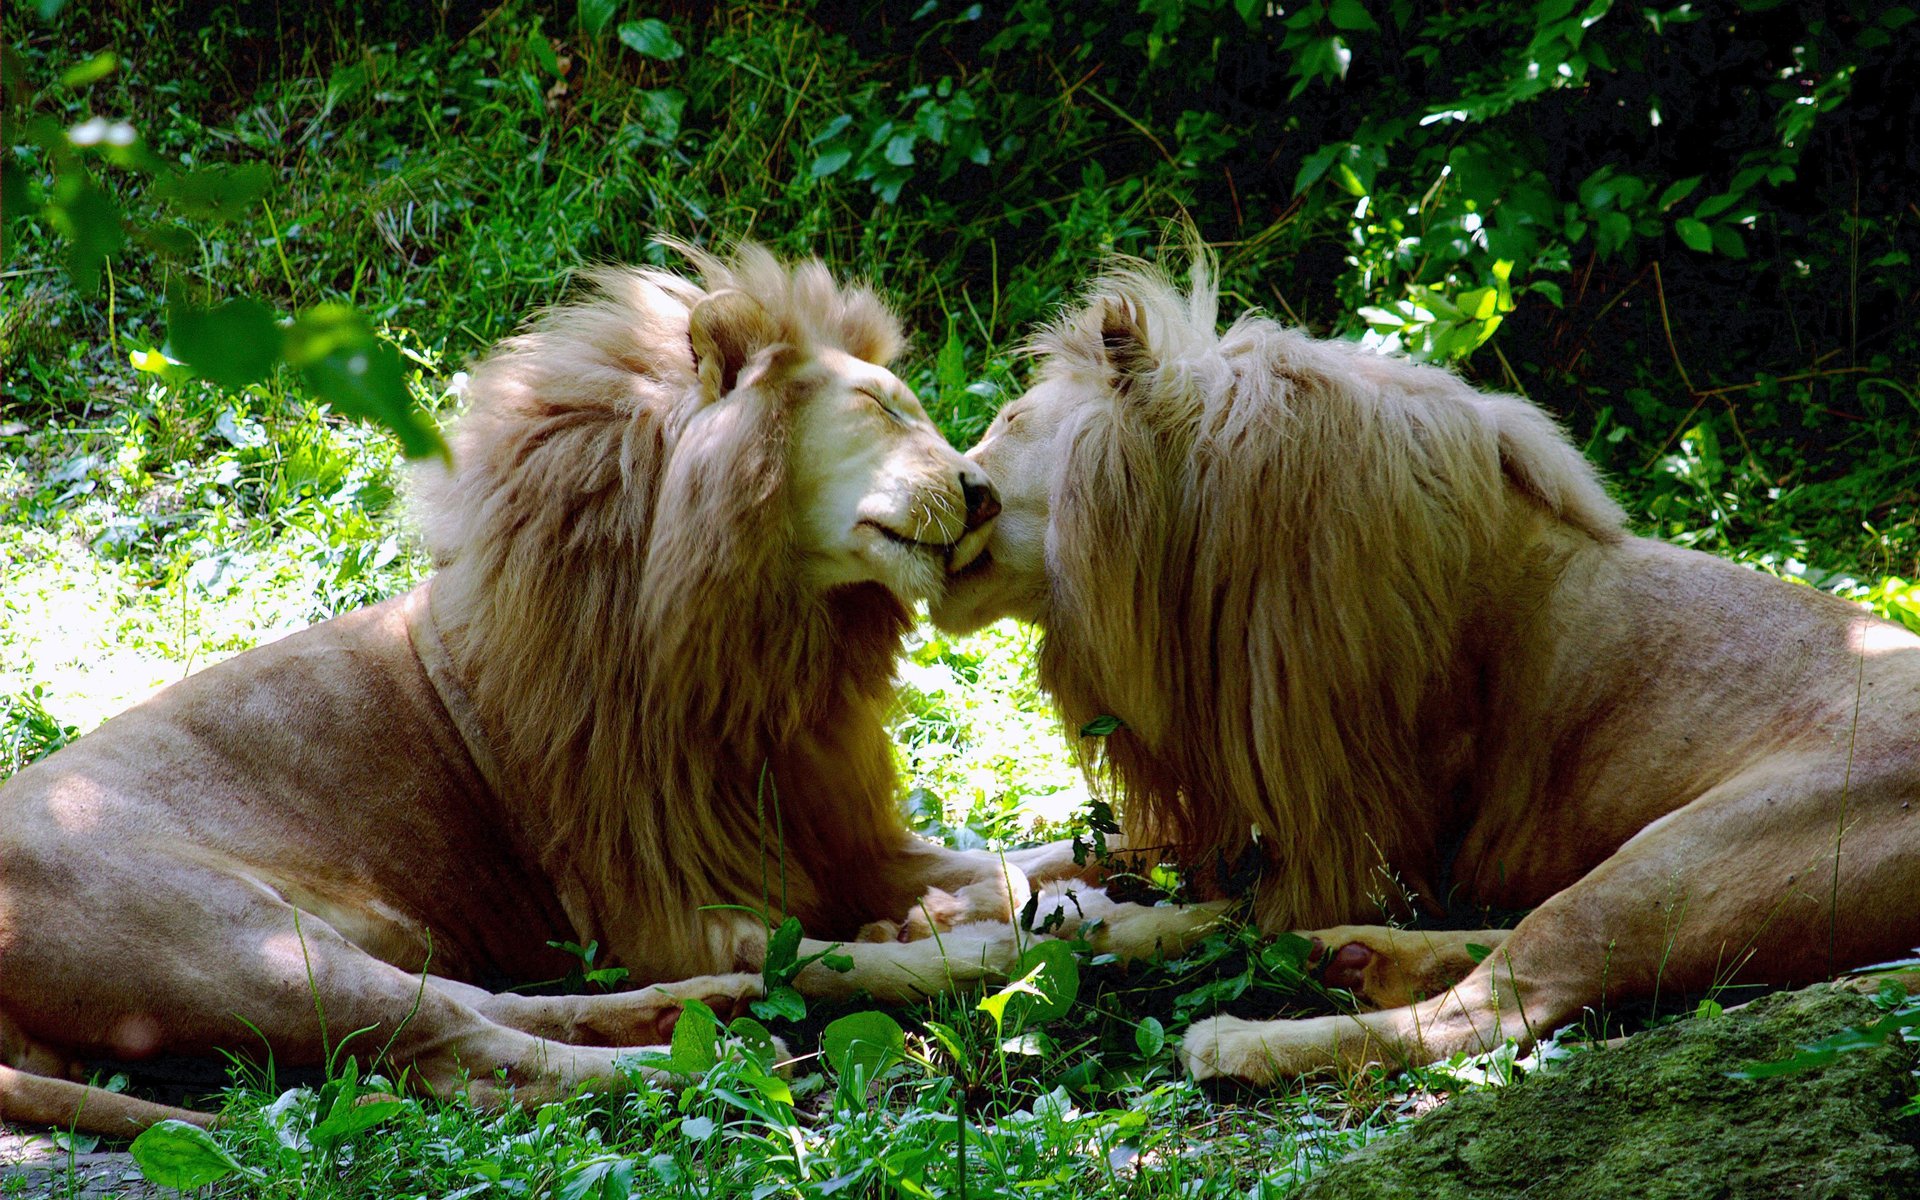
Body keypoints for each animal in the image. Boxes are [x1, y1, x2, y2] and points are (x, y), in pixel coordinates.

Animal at [0, 243, 1036, 1128]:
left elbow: (1010, 863)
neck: (768, 641)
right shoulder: (668, 909)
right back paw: (723, 1057)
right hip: (247, 948)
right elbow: (840, 961)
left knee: (491, 1011)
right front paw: (975, 939)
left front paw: (1004, 897)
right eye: (884, 409)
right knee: (469, 1058)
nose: (986, 495)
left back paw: (699, 1012)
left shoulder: (827, 839)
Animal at [929, 257, 1920, 1082]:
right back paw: (1344, 955)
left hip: (1690, 848)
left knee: (1499, 1004)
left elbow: (1208, 907)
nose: (949, 483)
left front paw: (1046, 922)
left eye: (1008, 421)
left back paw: (1242, 1038)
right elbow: (1068, 850)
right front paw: (959, 896)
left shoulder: (1364, 831)